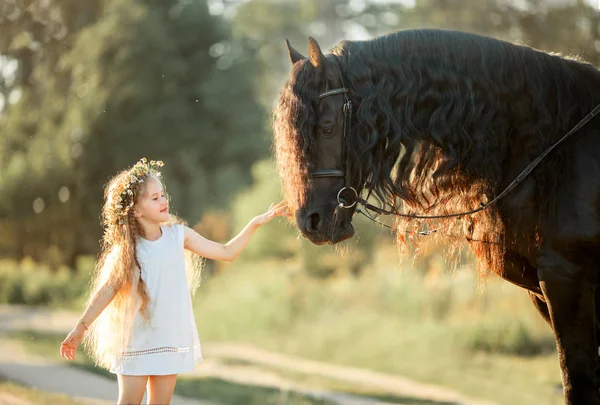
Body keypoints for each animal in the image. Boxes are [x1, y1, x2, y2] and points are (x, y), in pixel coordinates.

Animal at [274, 30, 600, 402]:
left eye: (327, 127)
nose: (310, 221)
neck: (553, 147)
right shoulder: (544, 290)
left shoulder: (566, 280)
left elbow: (578, 381)